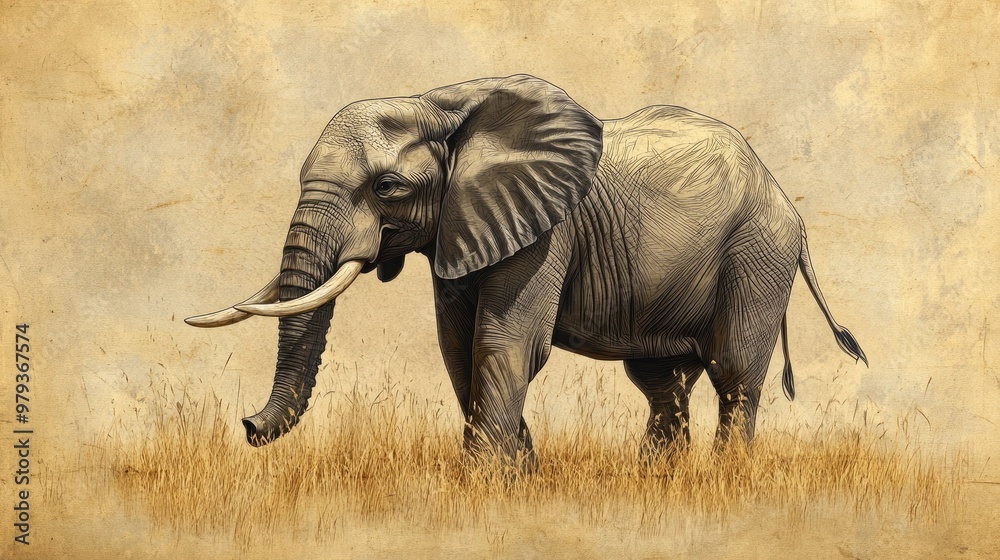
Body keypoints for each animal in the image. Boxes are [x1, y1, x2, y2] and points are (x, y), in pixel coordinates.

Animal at [186, 74, 867, 466]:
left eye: (387, 187)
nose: (246, 425)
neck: (440, 103)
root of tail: (787, 203)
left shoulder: (546, 230)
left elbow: (505, 341)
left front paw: (482, 482)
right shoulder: (463, 225)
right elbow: (459, 346)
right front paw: (519, 476)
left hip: (756, 255)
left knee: (734, 376)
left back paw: (725, 482)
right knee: (662, 382)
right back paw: (658, 484)